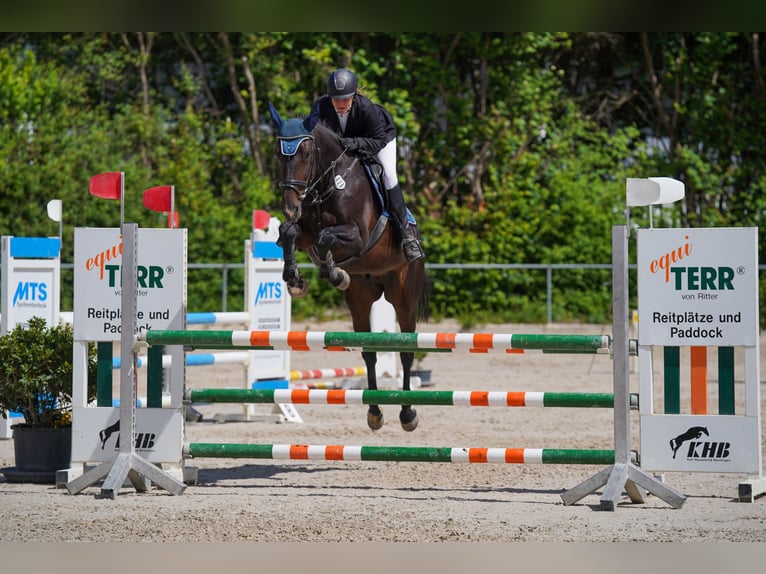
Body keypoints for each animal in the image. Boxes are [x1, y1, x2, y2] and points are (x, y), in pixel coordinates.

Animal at [268, 106, 426, 434]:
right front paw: (295, 280)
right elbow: (290, 232)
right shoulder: (304, 231)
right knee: (369, 352)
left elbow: (326, 238)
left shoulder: (359, 237)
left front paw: (334, 273)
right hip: (361, 300)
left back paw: (407, 414)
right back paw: (375, 413)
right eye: (279, 153)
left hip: (404, 298)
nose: (290, 206)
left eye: (306, 152)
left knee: (406, 351)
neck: (326, 185)